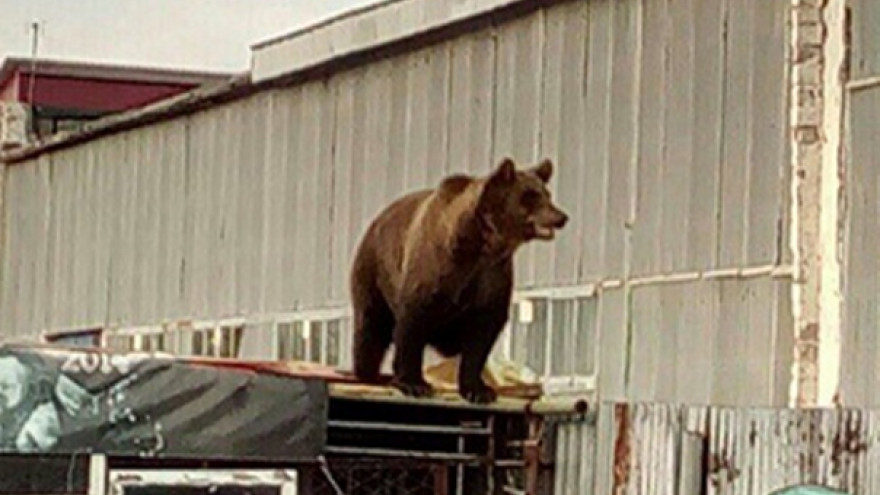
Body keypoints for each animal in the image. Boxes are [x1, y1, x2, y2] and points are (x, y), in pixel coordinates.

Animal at [348, 158, 568, 404]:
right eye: (530, 195)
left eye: (547, 194)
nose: (561, 217)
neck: (482, 245)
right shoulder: (435, 270)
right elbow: (412, 322)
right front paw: (414, 384)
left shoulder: (492, 277)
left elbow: (482, 334)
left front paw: (479, 389)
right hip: (372, 271)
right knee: (371, 326)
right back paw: (369, 373)